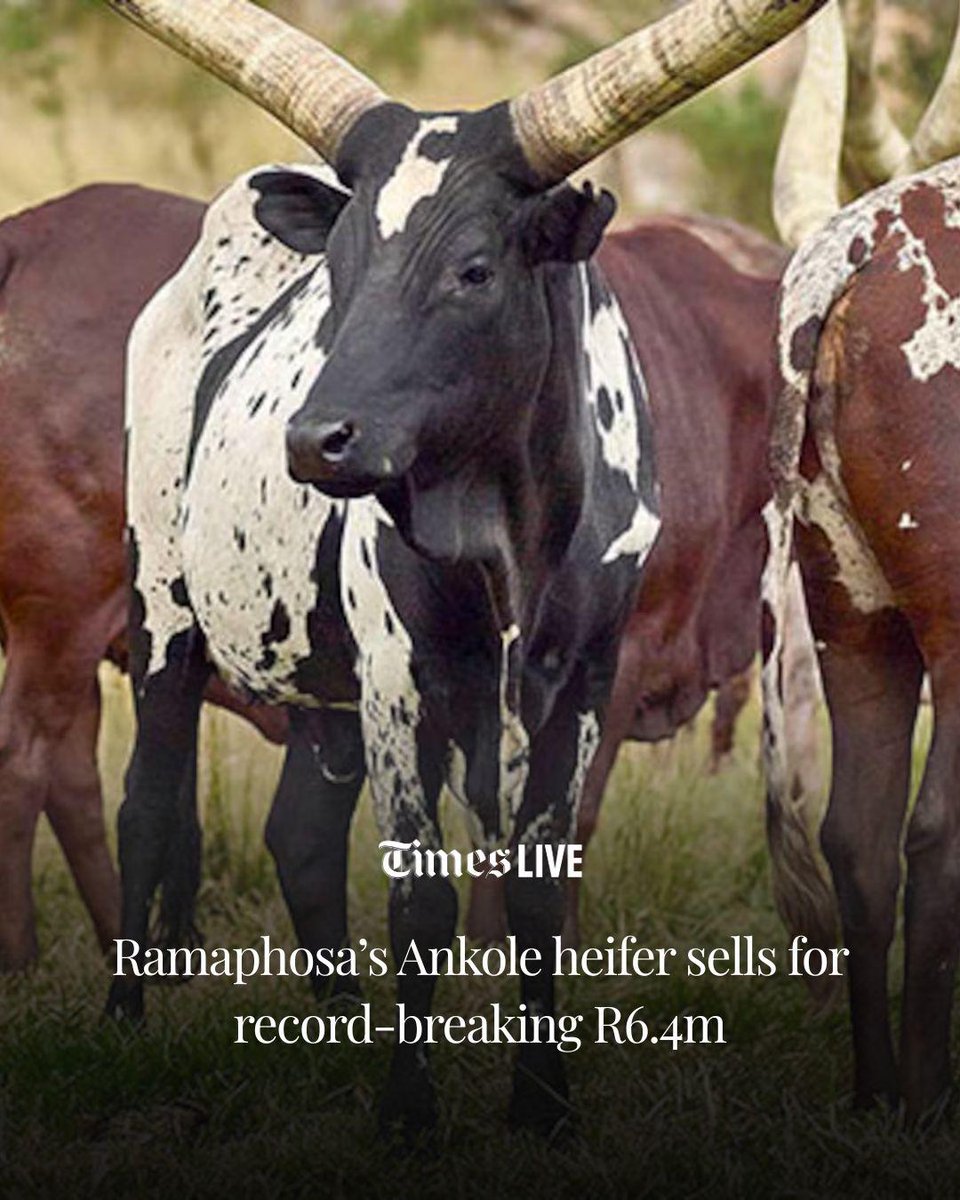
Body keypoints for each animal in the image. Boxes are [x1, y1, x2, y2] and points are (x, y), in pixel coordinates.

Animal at [100, 0, 826, 1137]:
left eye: (475, 269)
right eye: (340, 267)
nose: (317, 441)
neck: (507, 531)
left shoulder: (586, 677)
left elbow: (536, 886)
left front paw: (544, 1102)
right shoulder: (406, 679)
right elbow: (422, 896)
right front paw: (409, 1113)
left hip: (325, 676)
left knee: (302, 834)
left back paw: (339, 1023)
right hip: (164, 604)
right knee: (145, 802)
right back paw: (127, 1023)